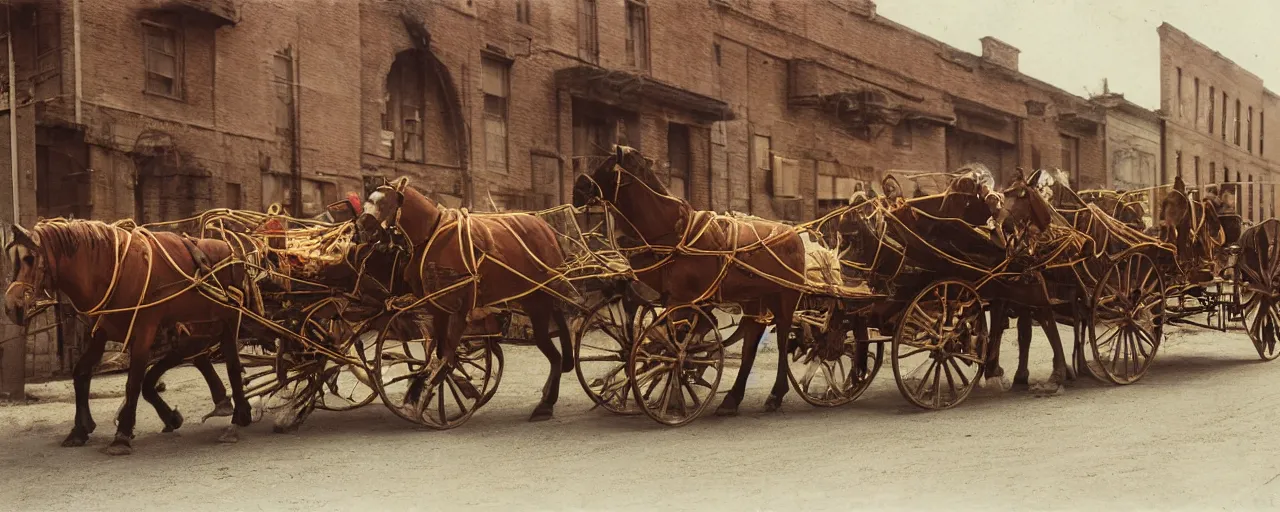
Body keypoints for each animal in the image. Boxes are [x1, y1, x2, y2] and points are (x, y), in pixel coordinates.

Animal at [3, 221, 250, 453]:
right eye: (12, 259)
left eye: (29, 259)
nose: (10, 306)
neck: (113, 269)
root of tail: (230, 250)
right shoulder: (101, 333)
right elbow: (81, 373)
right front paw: (80, 429)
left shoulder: (144, 331)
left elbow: (133, 382)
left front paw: (121, 434)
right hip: (199, 327)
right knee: (198, 355)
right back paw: (226, 404)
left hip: (228, 321)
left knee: (231, 363)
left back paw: (238, 415)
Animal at [350, 177, 570, 422]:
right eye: (368, 200)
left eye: (386, 202)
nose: (360, 230)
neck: (432, 236)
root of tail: (546, 230)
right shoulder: (437, 306)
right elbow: (438, 351)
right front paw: (424, 386)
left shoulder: (459, 306)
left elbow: (449, 351)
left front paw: (430, 386)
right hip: (532, 299)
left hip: (541, 301)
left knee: (554, 354)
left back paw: (546, 404)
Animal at [576, 145, 803, 414]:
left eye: (608, 166)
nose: (578, 186)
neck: (674, 234)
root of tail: (793, 234)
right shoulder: (672, 300)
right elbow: (666, 339)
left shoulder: (681, 301)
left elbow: (676, 346)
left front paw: (672, 396)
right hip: (754, 298)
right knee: (751, 341)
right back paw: (732, 399)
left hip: (785, 297)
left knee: (781, 340)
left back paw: (776, 394)